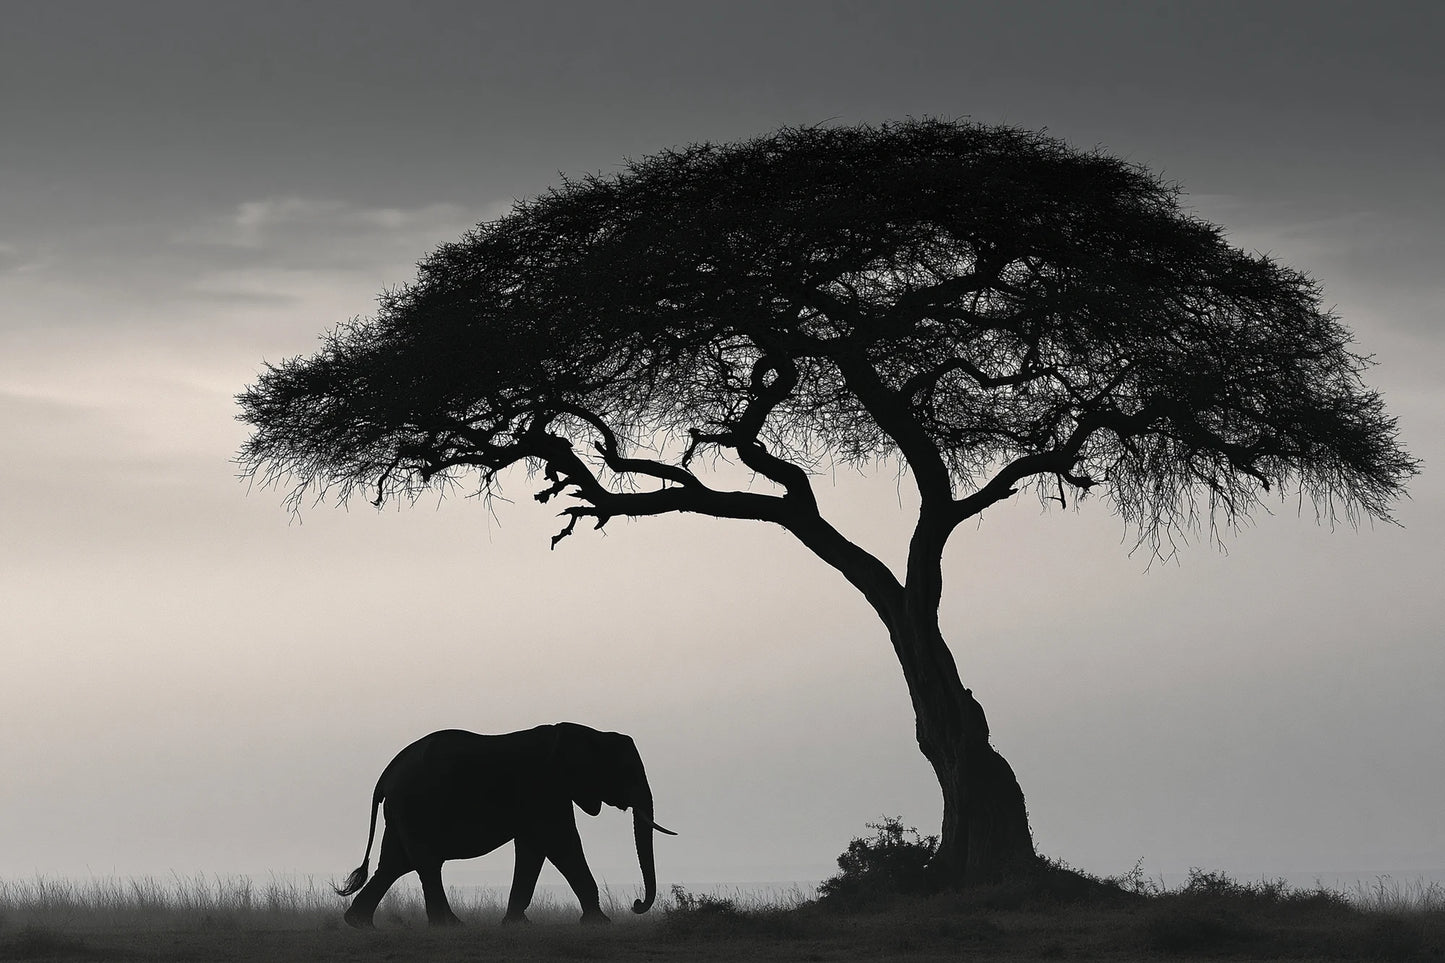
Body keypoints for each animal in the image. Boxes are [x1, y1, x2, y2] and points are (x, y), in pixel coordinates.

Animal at [334, 723, 675, 926]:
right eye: (627, 772)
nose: (636, 905)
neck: (583, 732)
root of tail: (386, 774)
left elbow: (534, 848)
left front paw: (516, 924)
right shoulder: (544, 788)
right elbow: (561, 843)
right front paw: (600, 923)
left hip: (403, 811)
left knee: (395, 864)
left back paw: (359, 923)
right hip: (415, 805)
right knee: (424, 863)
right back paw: (450, 926)